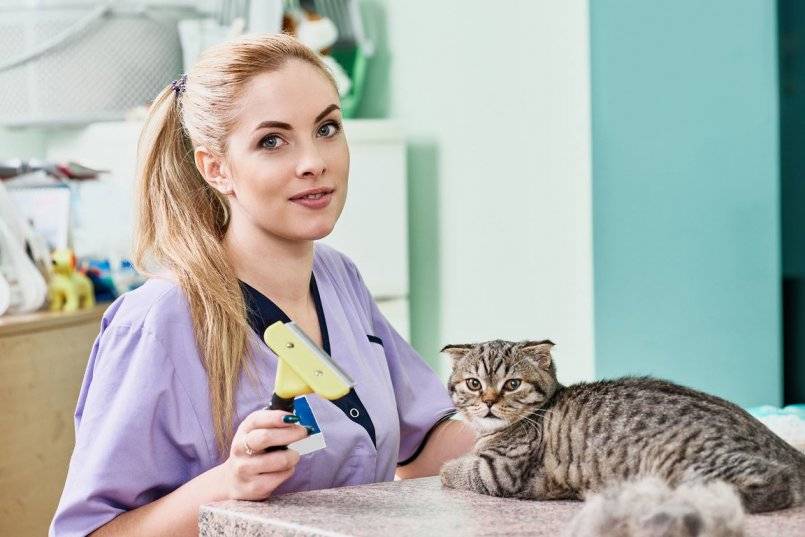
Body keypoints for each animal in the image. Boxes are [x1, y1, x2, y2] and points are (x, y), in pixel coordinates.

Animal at [438, 339, 805, 524]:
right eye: (474, 384)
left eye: (512, 384)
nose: (488, 402)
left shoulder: (500, 470)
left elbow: (458, 470)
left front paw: (448, 468)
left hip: (680, 458)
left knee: (774, 482)